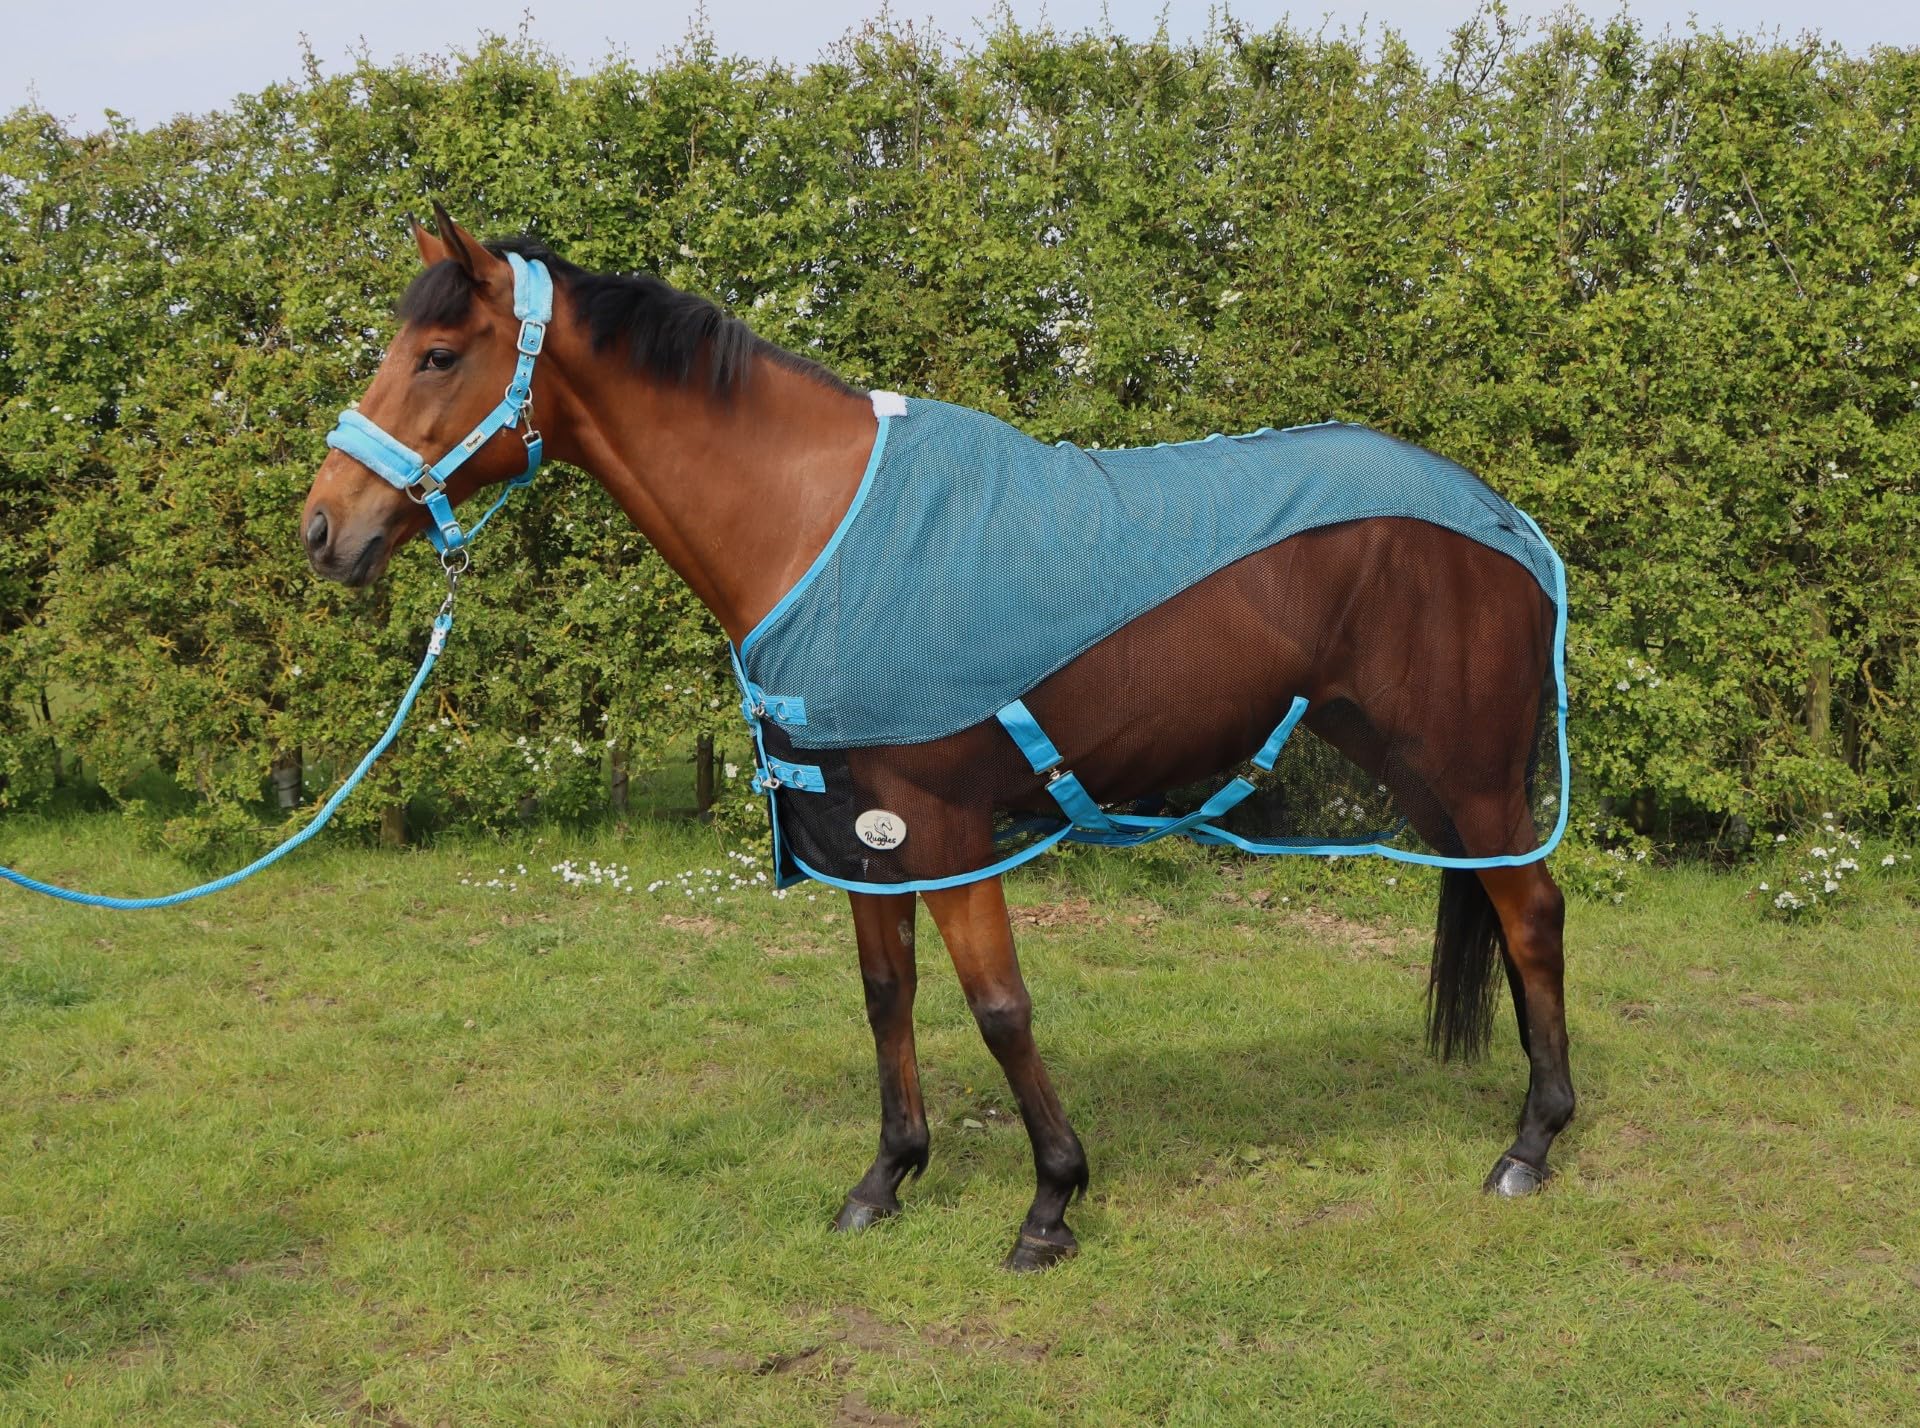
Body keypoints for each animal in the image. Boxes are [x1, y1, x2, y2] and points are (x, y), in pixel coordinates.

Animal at [301, 207, 1574, 1271]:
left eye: (438, 355)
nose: (323, 528)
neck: (817, 526)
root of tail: (1502, 518)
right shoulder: (860, 828)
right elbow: (888, 993)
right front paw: (886, 1179)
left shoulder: (949, 827)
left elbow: (999, 1006)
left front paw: (1051, 1203)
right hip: (1423, 775)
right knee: (1506, 914)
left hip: (1467, 773)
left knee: (1534, 916)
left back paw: (1532, 1146)